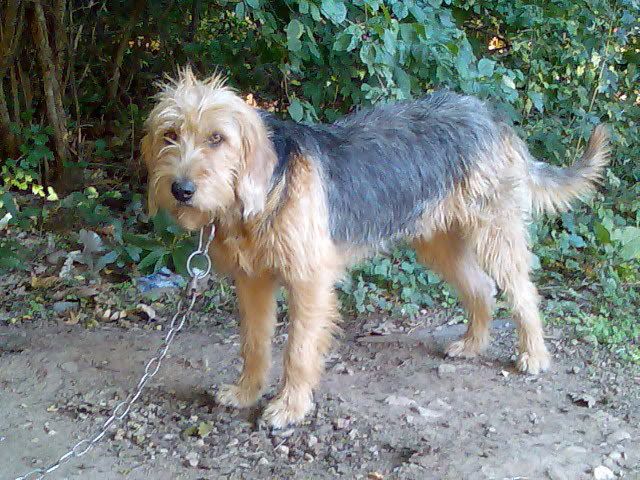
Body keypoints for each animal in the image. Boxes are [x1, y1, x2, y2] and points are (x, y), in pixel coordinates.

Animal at [141, 67, 608, 428]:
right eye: (170, 134)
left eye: (217, 138)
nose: (181, 189)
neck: (263, 192)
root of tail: (493, 117)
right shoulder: (253, 282)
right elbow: (254, 343)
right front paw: (246, 392)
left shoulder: (309, 284)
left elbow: (298, 350)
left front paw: (290, 408)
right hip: (439, 243)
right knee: (481, 288)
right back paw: (473, 344)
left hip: (494, 235)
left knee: (522, 292)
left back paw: (533, 354)